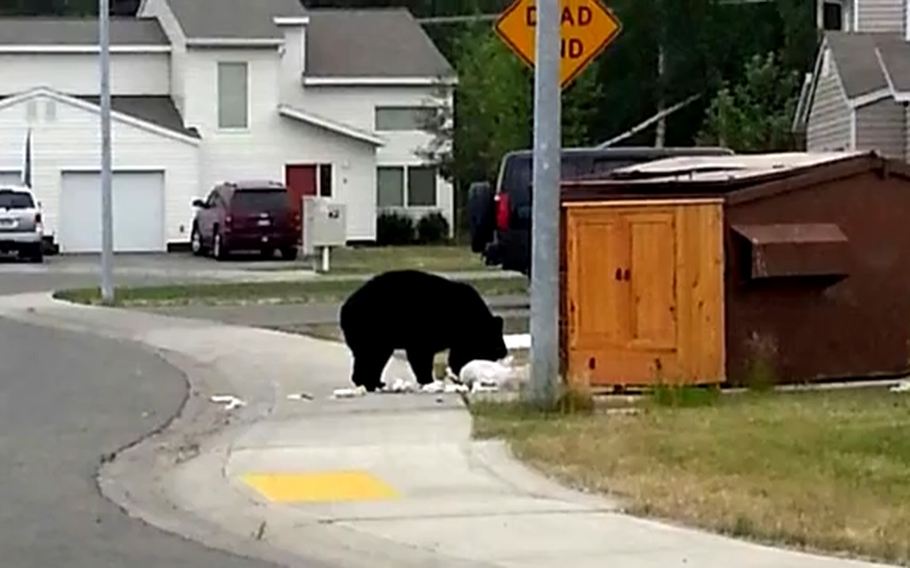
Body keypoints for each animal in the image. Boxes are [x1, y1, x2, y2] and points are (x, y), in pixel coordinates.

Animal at [338, 270, 510, 392]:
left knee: (372, 357)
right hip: (372, 329)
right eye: (494, 348)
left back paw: (373, 382)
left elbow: (456, 354)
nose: (503, 351)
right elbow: (421, 356)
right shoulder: (426, 329)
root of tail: (345, 309)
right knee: (371, 356)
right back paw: (368, 382)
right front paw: (429, 381)